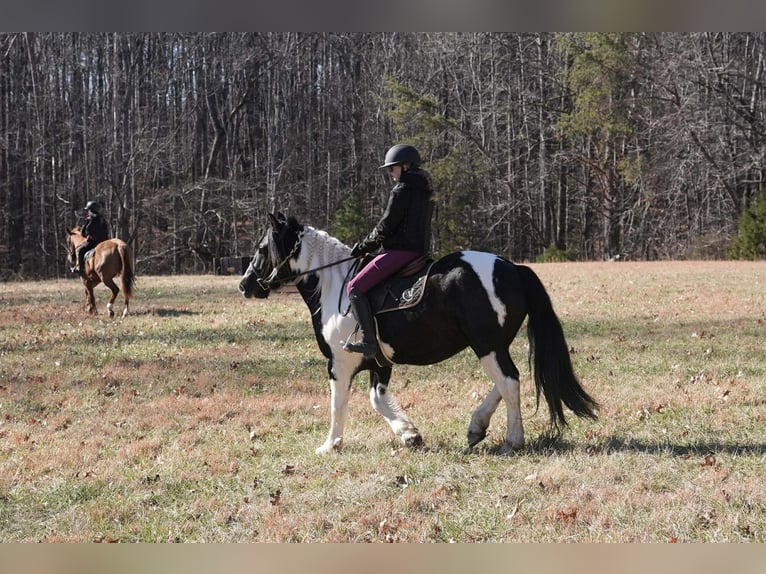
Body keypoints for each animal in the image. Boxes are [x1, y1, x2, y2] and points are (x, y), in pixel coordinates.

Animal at [238, 212, 598, 454]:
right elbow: (377, 398)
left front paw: (330, 445)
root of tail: (512, 268)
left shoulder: (339, 364)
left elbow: (337, 404)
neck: (333, 284)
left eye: (262, 248)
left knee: (509, 381)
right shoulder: (379, 361)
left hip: (487, 345)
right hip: (493, 345)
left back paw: (513, 439)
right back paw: (476, 427)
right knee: (508, 380)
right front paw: (410, 434)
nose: (245, 285)